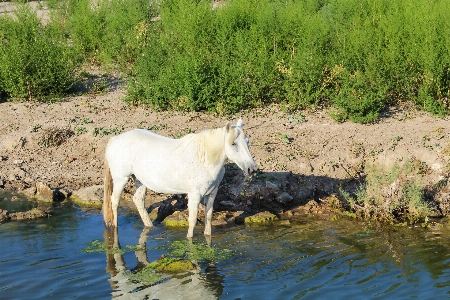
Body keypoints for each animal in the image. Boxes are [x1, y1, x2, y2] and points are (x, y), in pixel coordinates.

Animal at [103, 118, 256, 238]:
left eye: (247, 141)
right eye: (233, 143)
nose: (252, 169)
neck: (204, 160)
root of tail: (114, 139)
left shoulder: (212, 192)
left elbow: (208, 216)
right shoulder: (194, 194)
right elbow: (193, 221)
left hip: (139, 180)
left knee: (138, 200)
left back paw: (150, 226)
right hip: (121, 179)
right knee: (114, 201)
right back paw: (115, 229)